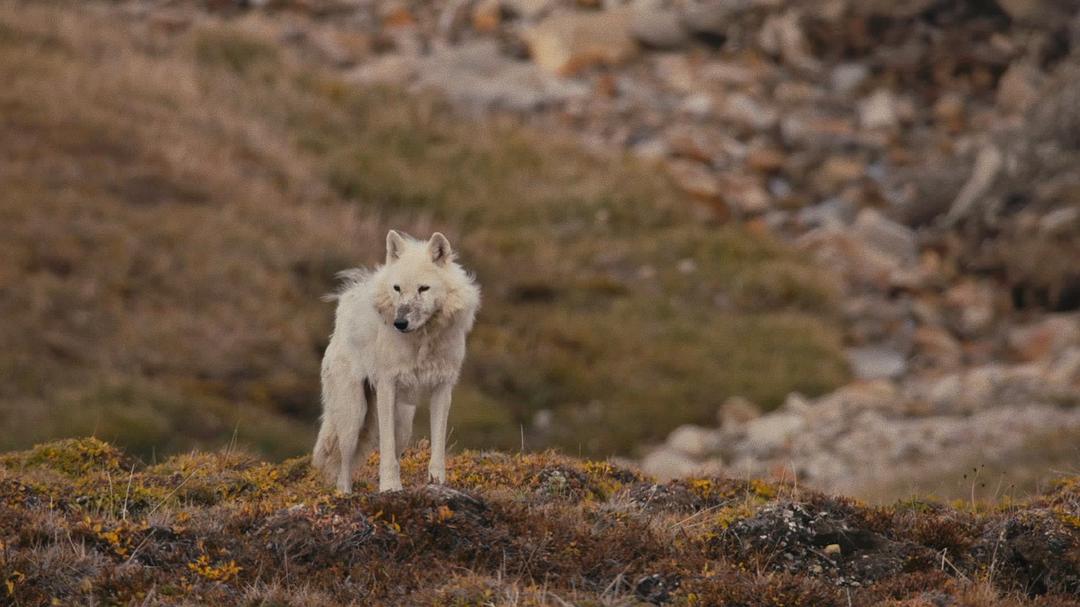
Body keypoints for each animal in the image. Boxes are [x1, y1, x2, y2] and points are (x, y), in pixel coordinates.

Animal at [313, 228, 481, 488]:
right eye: (397, 288)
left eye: (423, 288)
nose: (399, 323)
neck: (423, 339)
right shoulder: (387, 386)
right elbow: (386, 450)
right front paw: (390, 487)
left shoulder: (443, 389)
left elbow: (437, 446)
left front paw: (437, 482)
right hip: (353, 416)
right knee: (344, 468)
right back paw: (345, 493)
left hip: (404, 423)